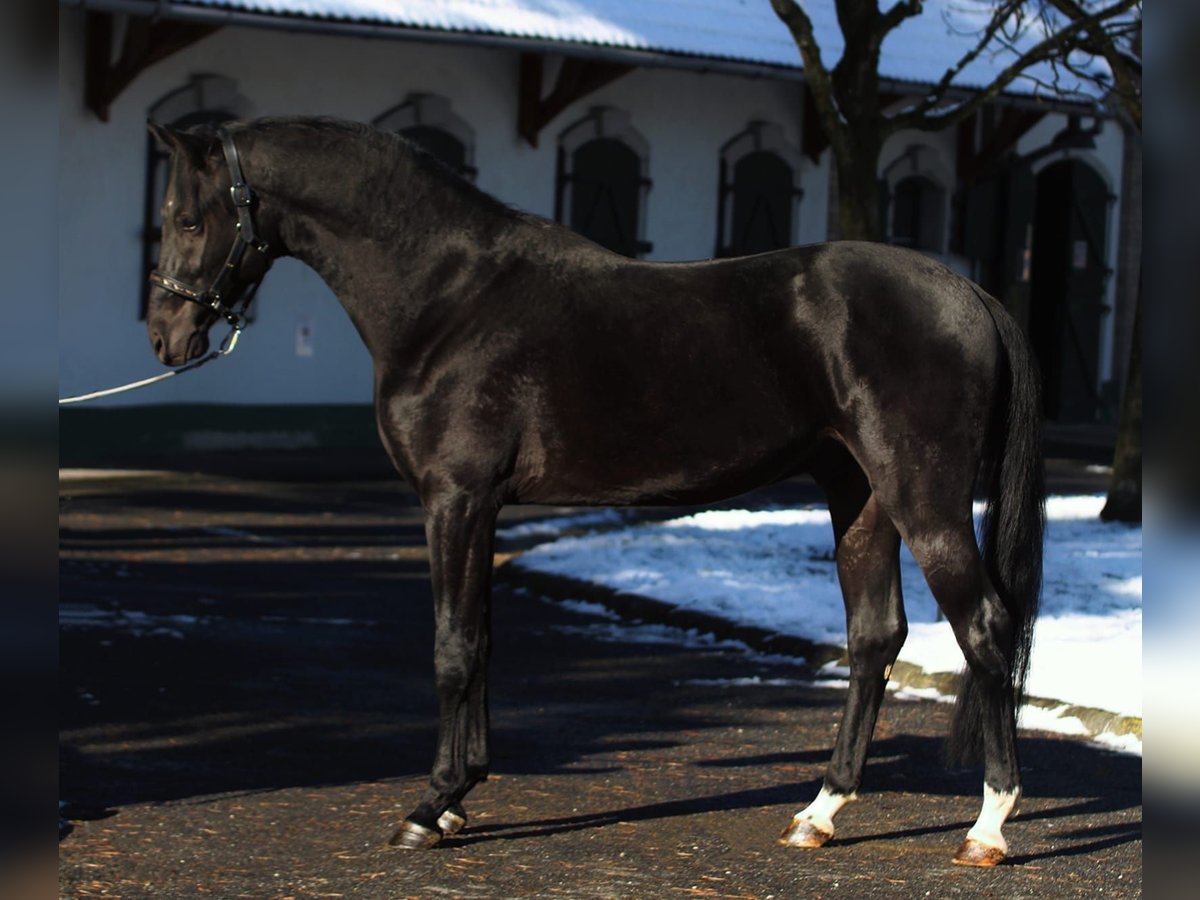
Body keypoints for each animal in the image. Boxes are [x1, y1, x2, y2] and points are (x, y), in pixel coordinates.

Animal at [142, 118, 1041, 868]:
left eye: (186, 219)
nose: (164, 334)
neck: (449, 297)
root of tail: (969, 293)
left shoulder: (454, 500)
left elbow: (451, 648)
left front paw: (429, 807)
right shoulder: (482, 509)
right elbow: (483, 642)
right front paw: (461, 797)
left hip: (922, 497)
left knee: (985, 628)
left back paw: (987, 828)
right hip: (859, 496)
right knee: (874, 638)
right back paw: (818, 814)